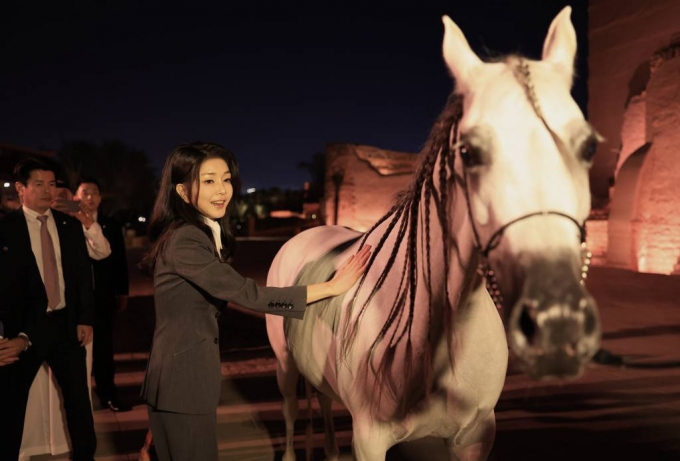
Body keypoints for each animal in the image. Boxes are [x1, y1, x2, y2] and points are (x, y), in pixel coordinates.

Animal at [266, 6, 600, 456]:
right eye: (469, 152)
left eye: (589, 147)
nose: (557, 323)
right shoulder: (370, 439)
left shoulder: (474, 436)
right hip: (284, 364)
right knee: (288, 408)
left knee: (321, 397)